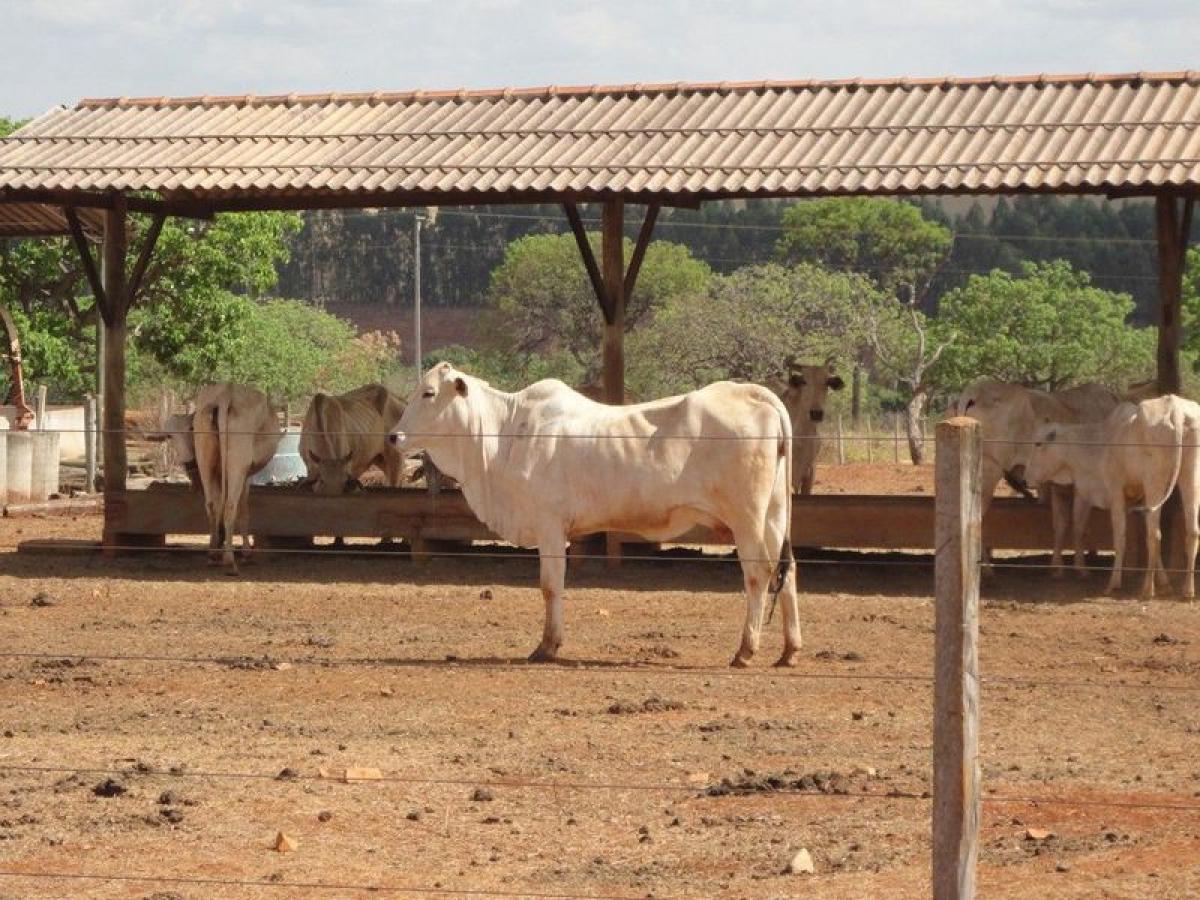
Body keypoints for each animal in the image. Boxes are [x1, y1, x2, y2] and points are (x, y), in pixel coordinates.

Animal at [388, 362, 796, 667]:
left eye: (428, 392)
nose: (394, 436)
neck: (502, 436)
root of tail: (755, 394)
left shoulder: (550, 526)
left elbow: (550, 585)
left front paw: (547, 645)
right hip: (775, 515)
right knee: (786, 571)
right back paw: (789, 651)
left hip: (747, 518)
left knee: (759, 573)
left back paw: (745, 650)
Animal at [1022, 393, 1200, 600]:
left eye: (1038, 443)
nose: (1025, 479)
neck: (1099, 443)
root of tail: (1175, 407)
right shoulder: (1138, 498)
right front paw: (1165, 584)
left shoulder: (1115, 492)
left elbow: (1119, 538)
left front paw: (1113, 583)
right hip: (1190, 476)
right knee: (1192, 531)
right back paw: (1188, 589)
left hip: (1154, 482)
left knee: (1154, 536)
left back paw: (1147, 589)